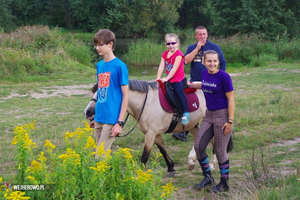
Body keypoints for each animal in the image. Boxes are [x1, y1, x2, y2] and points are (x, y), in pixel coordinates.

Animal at [83, 79, 217, 177]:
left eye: (105, 95)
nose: (87, 112)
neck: (145, 103)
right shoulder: (155, 133)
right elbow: (163, 150)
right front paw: (171, 167)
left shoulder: (150, 133)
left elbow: (145, 156)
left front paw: (138, 176)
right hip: (193, 124)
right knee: (198, 139)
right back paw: (192, 161)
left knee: (214, 141)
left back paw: (212, 164)